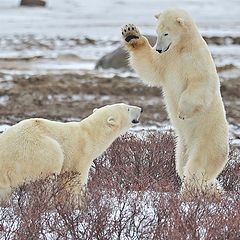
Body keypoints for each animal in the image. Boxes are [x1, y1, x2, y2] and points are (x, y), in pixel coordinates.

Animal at [0, 103, 142, 202]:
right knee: (52, 164)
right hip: (35, 151)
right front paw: (79, 204)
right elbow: (75, 181)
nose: (141, 109)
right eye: (127, 108)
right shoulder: (81, 154)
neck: (89, 133)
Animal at [122, 8, 229, 198]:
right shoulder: (167, 59)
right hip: (181, 146)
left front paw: (182, 111)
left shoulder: (196, 60)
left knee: (197, 167)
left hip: (207, 138)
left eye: (166, 33)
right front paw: (131, 33)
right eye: (157, 32)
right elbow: (150, 67)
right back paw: (212, 191)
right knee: (182, 166)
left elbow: (201, 83)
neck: (182, 47)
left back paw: (188, 194)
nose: (158, 48)